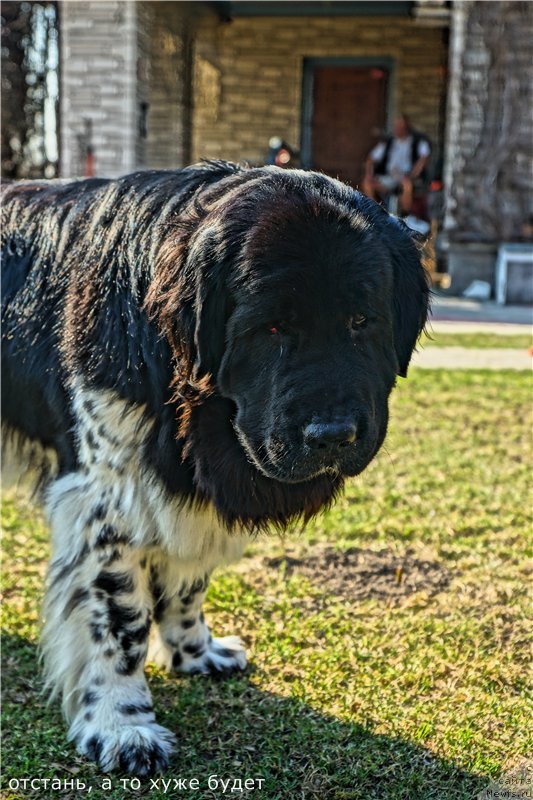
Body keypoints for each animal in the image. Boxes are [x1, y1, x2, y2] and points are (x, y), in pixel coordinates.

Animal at [1, 162, 428, 776]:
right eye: (270, 328)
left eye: (361, 320)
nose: (332, 435)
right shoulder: (106, 500)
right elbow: (119, 619)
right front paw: (122, 724)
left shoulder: (187, 494)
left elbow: (188, 580)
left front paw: (195, 652)